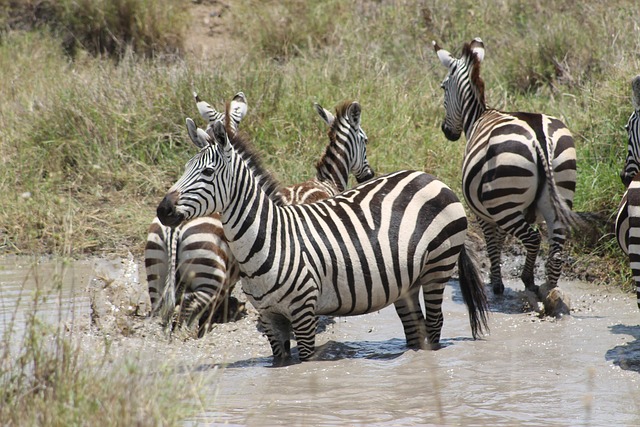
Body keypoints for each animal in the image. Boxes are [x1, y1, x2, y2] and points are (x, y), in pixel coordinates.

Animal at [156, 105, 490, 362]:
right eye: (184, 168)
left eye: (207, 172)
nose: (163, 210)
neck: (268, 238)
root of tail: (430, 177)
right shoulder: (269, 317)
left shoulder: (303, 312)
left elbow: (305, 365)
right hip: (406, 282)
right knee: (415, 327)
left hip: (438, 266)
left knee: (434, 324)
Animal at [432, 37, 576, 318]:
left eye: (443, 87)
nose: (446, 132)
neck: (479, 115)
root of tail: (539, 136)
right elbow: (498, 242)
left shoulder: (483, 213)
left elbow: (492, 243)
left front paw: (496, 284)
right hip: (559, 191)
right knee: (555, 250)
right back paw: (550, 292)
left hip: (505, 202)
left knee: (533, 238)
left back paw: (529, 282)